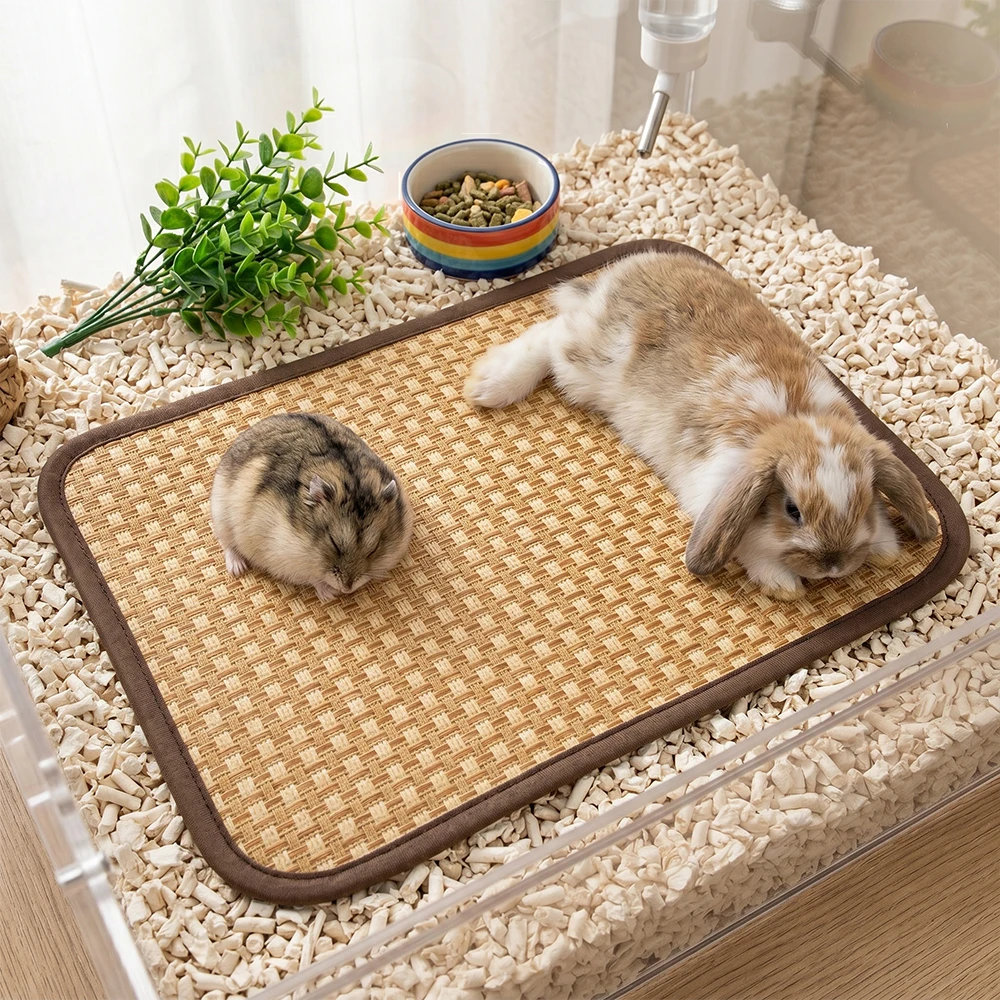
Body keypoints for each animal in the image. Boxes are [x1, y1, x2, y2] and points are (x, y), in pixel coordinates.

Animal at [210, 413, 413, 600]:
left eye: (374, 549)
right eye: (334, 543)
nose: (347, 589)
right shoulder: (282, 557)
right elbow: (312, 577)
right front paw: (330, 594)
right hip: (221, 515)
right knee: (227, 544)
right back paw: (237, 569)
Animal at [464, 249, 937, 601]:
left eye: (865, 501)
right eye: (792, 510)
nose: (833, 566)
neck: (793, 419)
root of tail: (613, 278)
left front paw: (885, 548)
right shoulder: (713, 489)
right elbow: (746, 543)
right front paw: (782, 583)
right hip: (582, 366)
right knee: (547, 335)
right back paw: (490, 385)